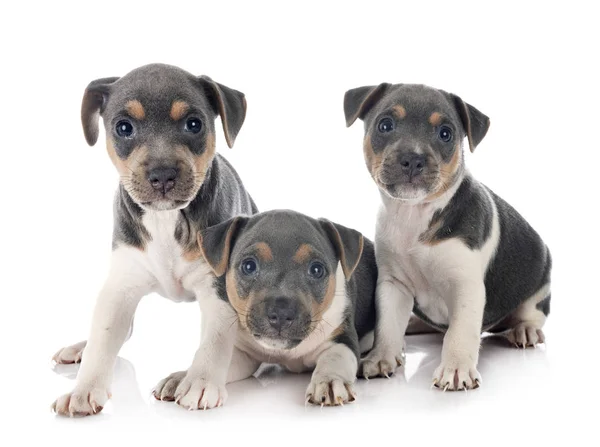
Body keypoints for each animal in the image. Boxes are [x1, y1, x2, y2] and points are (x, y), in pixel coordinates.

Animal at [52, 63, 256, 416]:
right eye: (123, 128)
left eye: (194, 124)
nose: (162, 175)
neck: (166, 219)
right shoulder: (121, 286)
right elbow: (104, 338)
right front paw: (84, 389)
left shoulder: (218, 289)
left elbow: (214, 342)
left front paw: (201, 383)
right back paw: (80, 347)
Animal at [152, 210, 376, 406]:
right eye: (248, 266)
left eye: (316, 270)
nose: (281, 314)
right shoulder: (244, 355)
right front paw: (185, 377)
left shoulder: (342, 338)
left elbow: (335, 358)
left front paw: (329, 381)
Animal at [344, 82, 552, 390]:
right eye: (385, 125)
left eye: (445, 133)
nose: (413, 159)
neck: (414, 215)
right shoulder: (393, 285)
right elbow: (388, 327)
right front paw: (381, 357)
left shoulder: (466, 288)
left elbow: (460, 332)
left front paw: (456, 368)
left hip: (538, 288)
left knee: (532, 315)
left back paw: (524, 330)